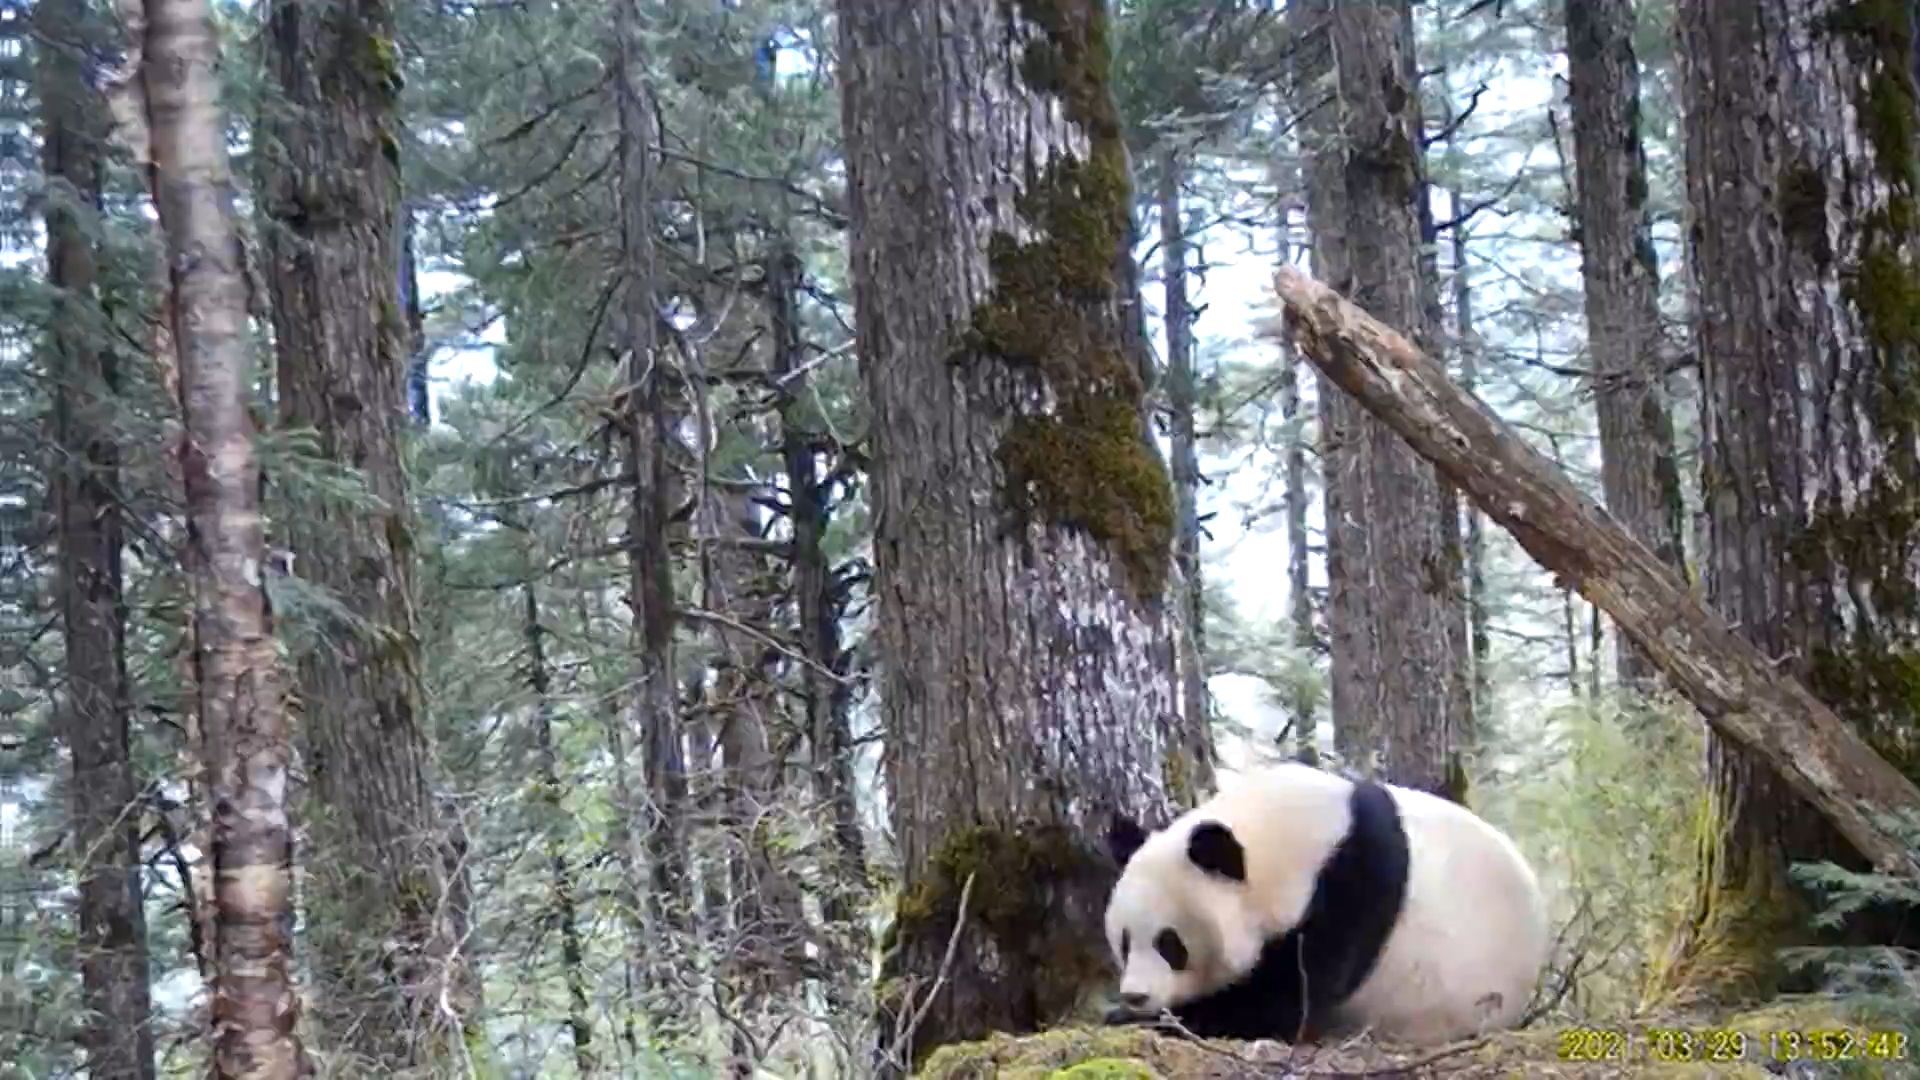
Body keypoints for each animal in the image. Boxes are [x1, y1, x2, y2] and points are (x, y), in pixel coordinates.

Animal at [1105, 757, 1551, 1045]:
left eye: (1170, 944)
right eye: (1124, 942)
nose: (1136, 996)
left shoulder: (1348, 886)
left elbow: (1287, 1000)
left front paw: (1170, 1019)